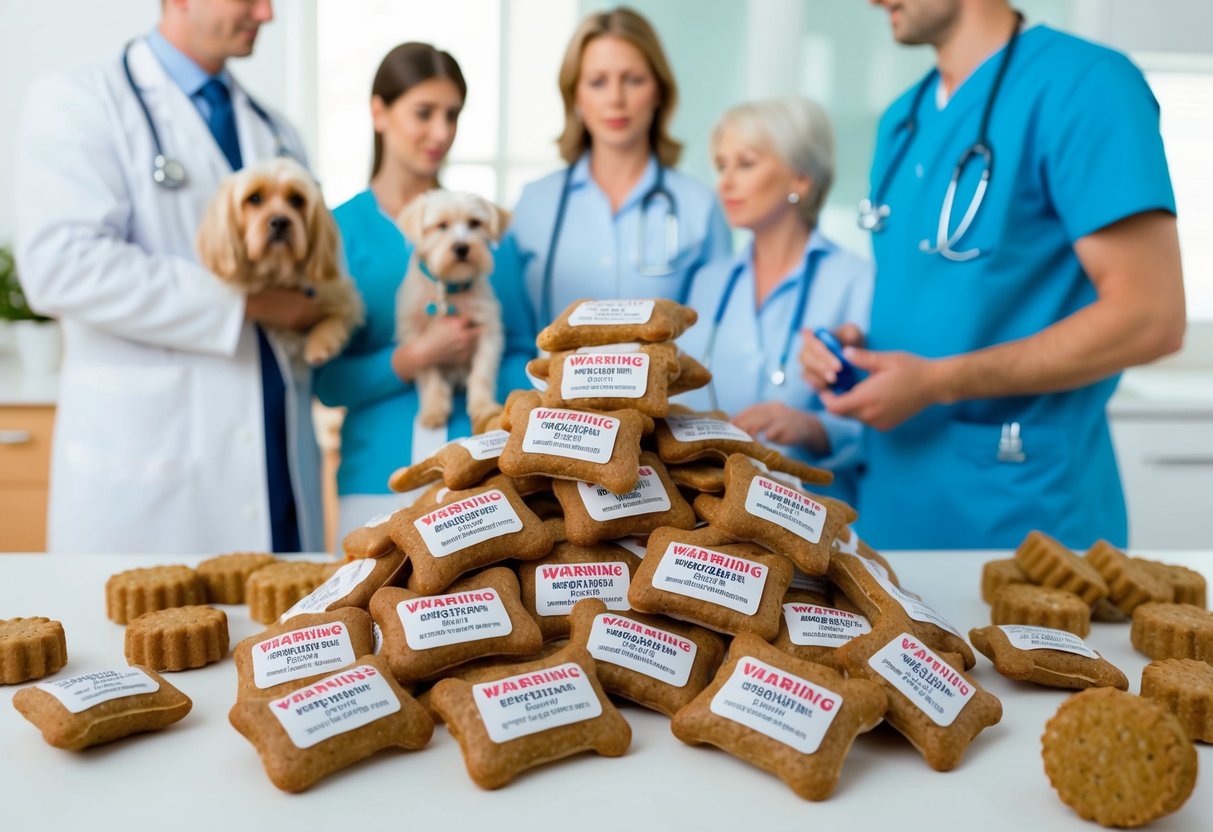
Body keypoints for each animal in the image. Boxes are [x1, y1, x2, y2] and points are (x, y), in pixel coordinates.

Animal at [195, 156, 359, 363]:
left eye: (297, 200)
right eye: (255, 198)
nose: (280, 222)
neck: (278, 269)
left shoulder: (346, 296)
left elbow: (336, 315)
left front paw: (321, 341)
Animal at [400, 190, 509, 429]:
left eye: (475, 223)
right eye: (441, 225)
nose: (461, 247)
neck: (450, 288)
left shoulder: (488, 329)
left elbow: (481, 372)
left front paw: (483, 407)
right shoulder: (417, 340)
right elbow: (429, 376)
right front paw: (433, 409)